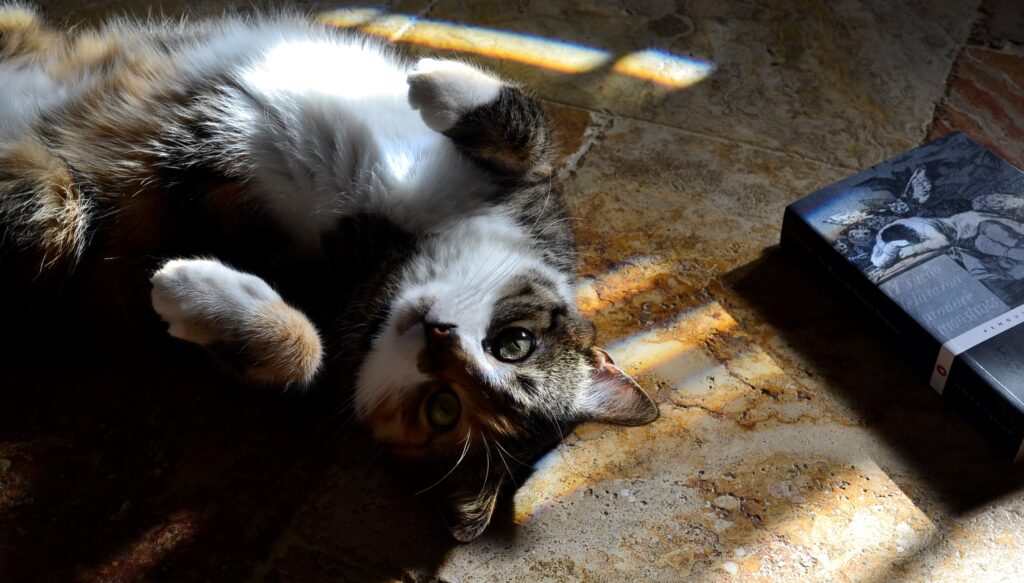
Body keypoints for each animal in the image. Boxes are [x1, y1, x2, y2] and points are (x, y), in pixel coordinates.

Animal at [0, 4, 659, 540]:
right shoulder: (537, 199)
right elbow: (532, 132)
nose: (438, 335)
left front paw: (194, 294)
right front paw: (435, 79)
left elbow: (304, 354)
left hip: (52, 206)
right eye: (515, 344)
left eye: (443, 409)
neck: (399, 252)